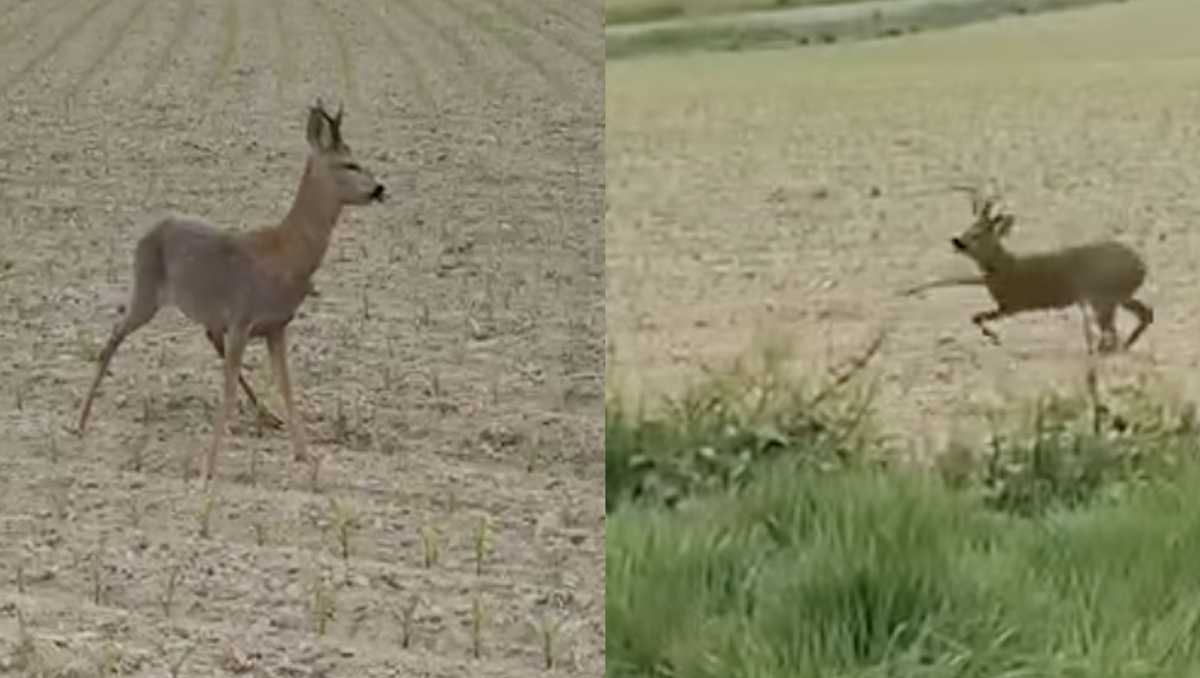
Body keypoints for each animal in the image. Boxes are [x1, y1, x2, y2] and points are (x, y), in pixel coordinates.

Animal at [77, 100, 386, 485]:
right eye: (348, 163)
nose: (379, 188)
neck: (288, 255)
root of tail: (150, 231)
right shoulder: (242, 317)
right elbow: (226, 391)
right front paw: (209, 468)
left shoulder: (276, 325)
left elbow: (286, 386)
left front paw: (304, 454)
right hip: (147, 290)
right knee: (115, 334)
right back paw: (81, 419)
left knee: (205, 338)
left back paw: (266, 416)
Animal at [901, 187, 1153, 355]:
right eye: (969, 228)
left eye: (978, 233)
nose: (957, 241)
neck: (1004, 267)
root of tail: (1141, 265)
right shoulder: (1003, 301)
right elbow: (973, 313)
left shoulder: (1011, 305)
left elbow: (977, 317)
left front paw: (994, 337)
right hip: (1117, 296)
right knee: (1143, 314)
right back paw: (1123, 346)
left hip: (1104, 298)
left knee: (1114, 329)